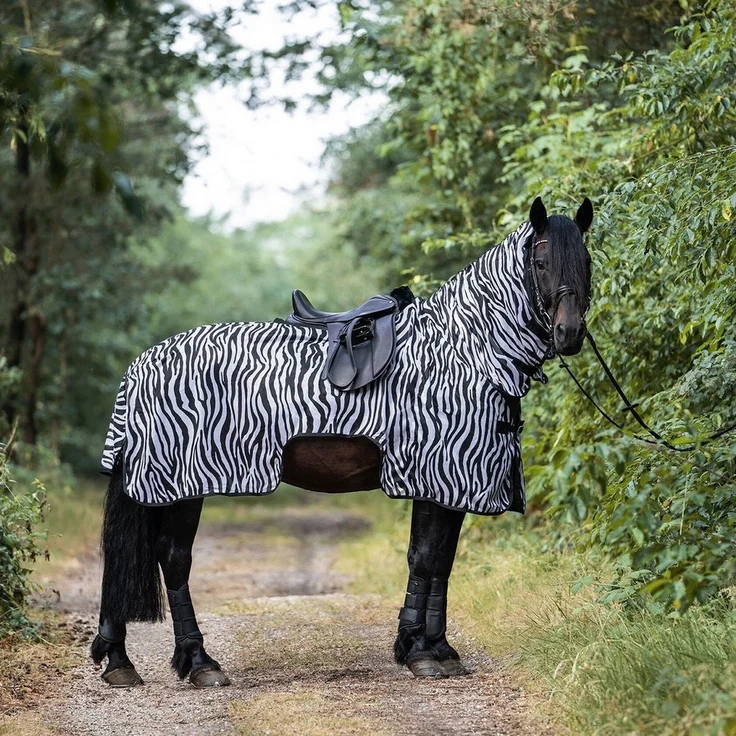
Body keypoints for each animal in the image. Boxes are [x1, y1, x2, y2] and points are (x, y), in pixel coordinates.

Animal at [91, 195, 593, 687]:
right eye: (541, 261)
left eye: (586, 260)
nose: (569, 334)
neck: (465, 351)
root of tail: (141, 364)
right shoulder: (434, 475)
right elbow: (424, 559)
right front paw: (419, 652)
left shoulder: (451, 486)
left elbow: (442, 562)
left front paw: (439, 649)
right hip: (183, 486)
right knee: (173, 560)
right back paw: (198, 662)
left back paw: (119, 660)